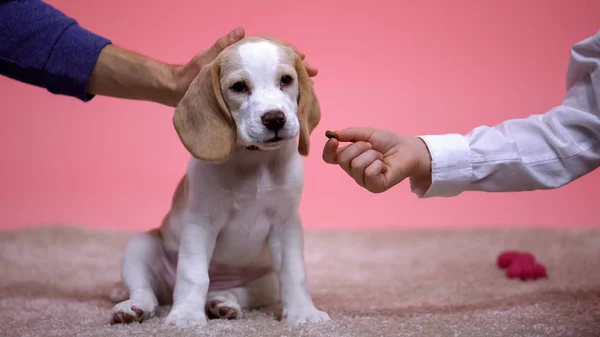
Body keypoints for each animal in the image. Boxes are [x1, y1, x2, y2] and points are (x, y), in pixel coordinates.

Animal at [110, 35, 330, 326]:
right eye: (239, 86)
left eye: (285, 80)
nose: (275, 119)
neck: (254, 161)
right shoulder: (201, 223)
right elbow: (193, 274)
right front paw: (186, 315)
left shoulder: (286, 225)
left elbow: (295, 273)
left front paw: (303, 313)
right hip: (141, 247)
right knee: (148, 292)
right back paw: (134, 307)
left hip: (265, 284)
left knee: (231, 291)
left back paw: (222, 302)